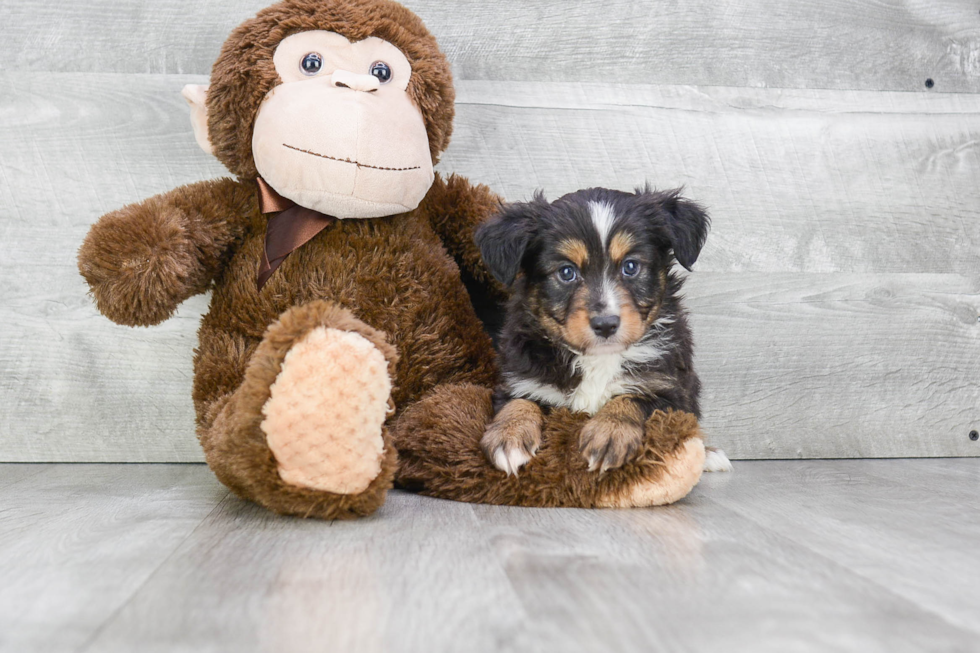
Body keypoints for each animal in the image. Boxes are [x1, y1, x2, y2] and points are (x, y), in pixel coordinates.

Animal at [474, 186, 728, 476]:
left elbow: (631, 398)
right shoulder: (520, 379)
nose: (606, 324)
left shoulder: (670, 391)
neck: (597, 358)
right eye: (566, 272)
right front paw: (508, 436)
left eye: (630, 266)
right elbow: (519, 401)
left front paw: (610, 434)